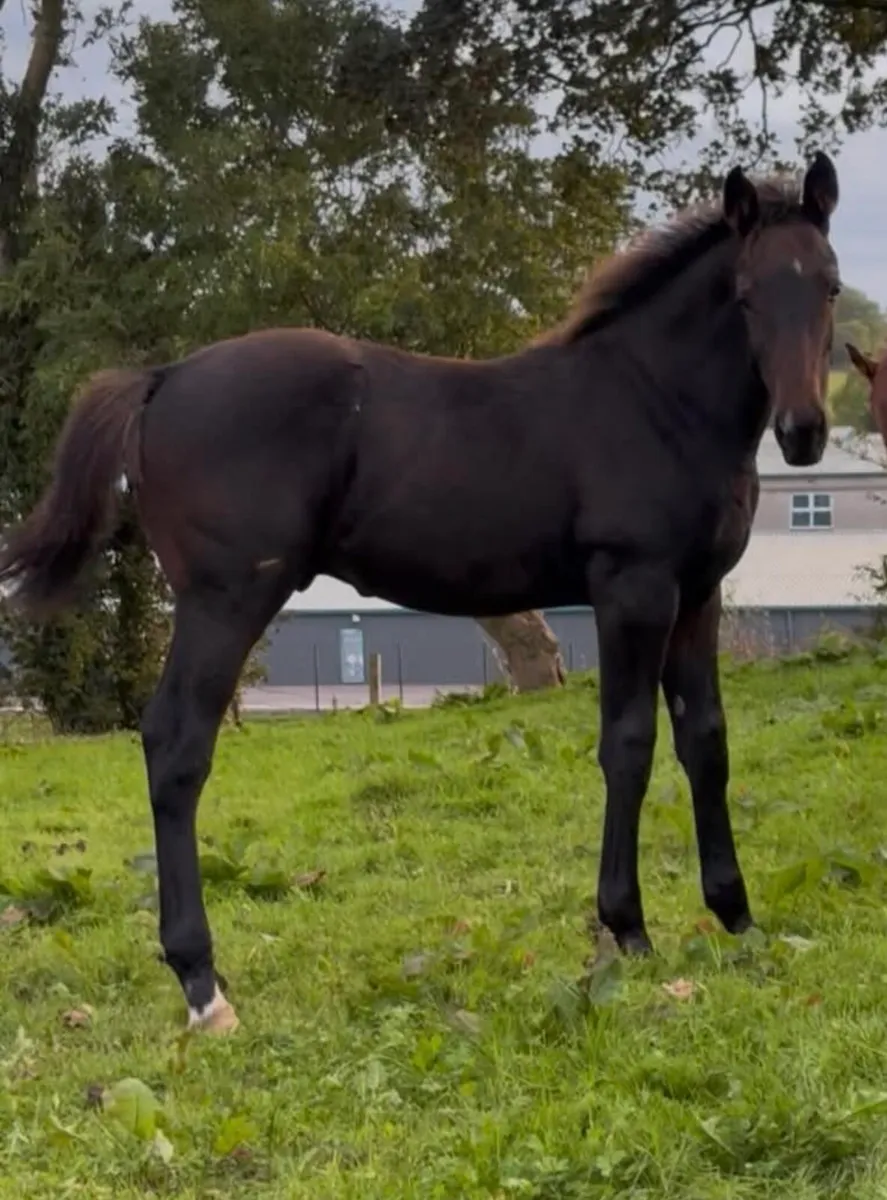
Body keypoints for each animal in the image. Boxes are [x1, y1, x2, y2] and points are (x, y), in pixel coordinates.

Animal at [0, 151, 842, 1035]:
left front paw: (736, 916)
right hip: (223, 601)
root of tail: (162, 379)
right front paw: (628, 930)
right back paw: (204, 986)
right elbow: (628, 743)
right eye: (745, 293)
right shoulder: (631, 588)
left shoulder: (697, 594)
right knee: (175, 745)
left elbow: (704, 740)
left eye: (828, 285)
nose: (803, 432)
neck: (653, 399)